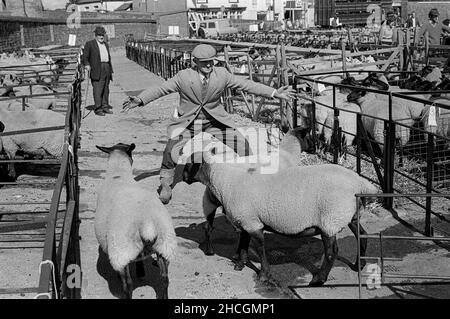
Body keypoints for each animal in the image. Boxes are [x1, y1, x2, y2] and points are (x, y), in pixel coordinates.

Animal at [96, 144, 177, 298]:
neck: (118, 175)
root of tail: (147, 225)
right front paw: (141, 271)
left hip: (121, 252)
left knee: (128, 284)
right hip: (165, 246)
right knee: (164, 279)